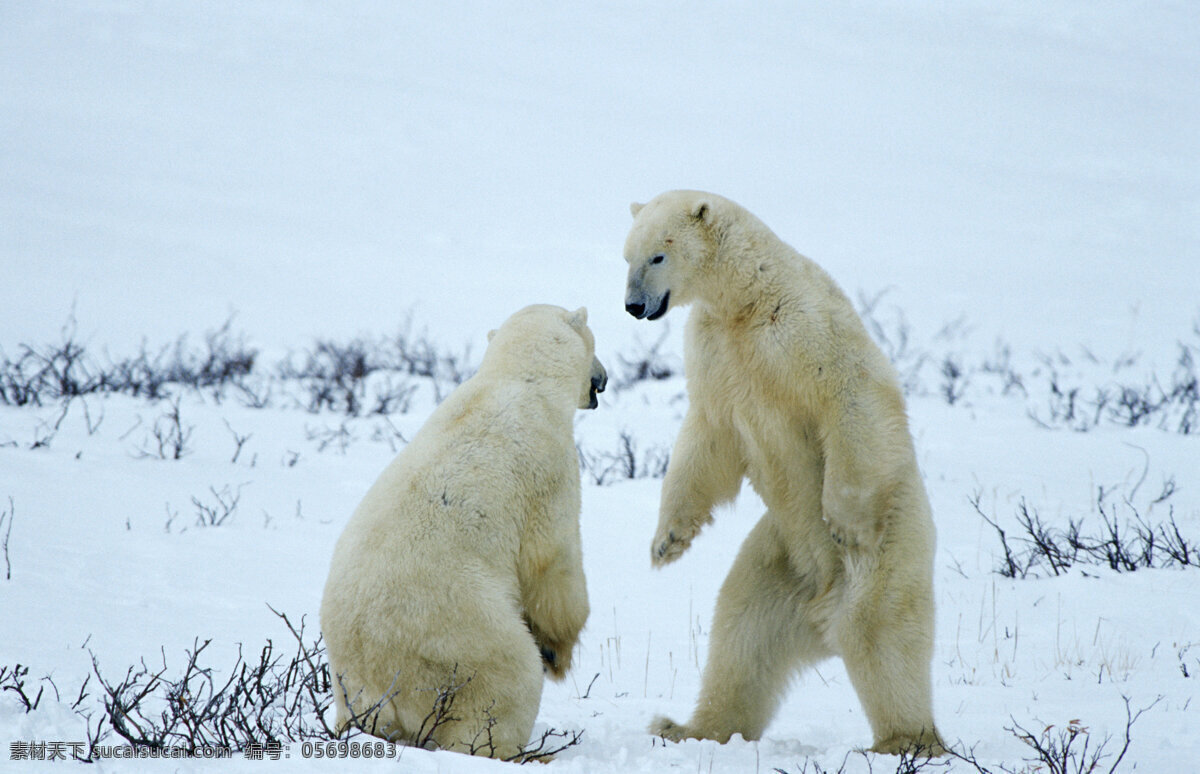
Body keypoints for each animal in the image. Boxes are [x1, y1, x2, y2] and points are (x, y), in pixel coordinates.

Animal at [319, 303, 604, 758]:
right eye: (595, 345)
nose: (603, 379)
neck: (518, 380)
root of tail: (379, 685)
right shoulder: (551, 465)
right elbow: (552, 561)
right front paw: (558, 652)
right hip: (459, 633)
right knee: (506, 682)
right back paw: (520, 751)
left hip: (351, 685)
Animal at [624, 189, 940, 753]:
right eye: (626, 259)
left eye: (657, 256)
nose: (634, 307)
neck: (747, 298)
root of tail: (820, 616)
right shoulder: (714, 351)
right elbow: (707, 435)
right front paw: (667, 542)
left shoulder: (805, 328)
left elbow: (852, 394)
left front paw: (845, 521)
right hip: (779, 561)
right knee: (741, 633)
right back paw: (688, 728)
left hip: (891, 547)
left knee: (879, 632)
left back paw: (904, 741)